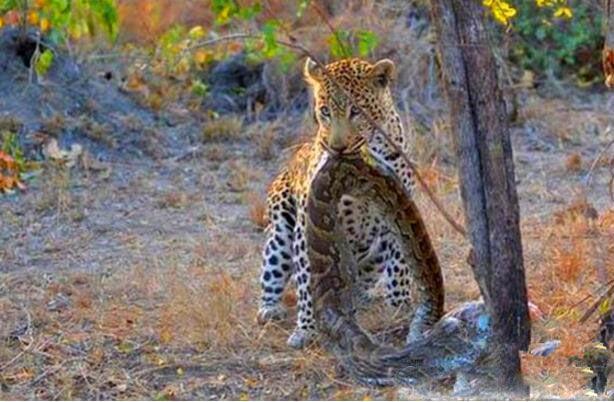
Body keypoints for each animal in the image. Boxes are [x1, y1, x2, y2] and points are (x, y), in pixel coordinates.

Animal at [256, 56, 424, 348]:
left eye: (356, 112)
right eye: (324, 111)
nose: (336, 147)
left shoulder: (399, 209)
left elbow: (400, 264)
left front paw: (400, 306)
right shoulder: (308, 224)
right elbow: (307, 279)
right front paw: (306, 329)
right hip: (280, 231)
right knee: (271, 269)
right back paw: (270, 309)